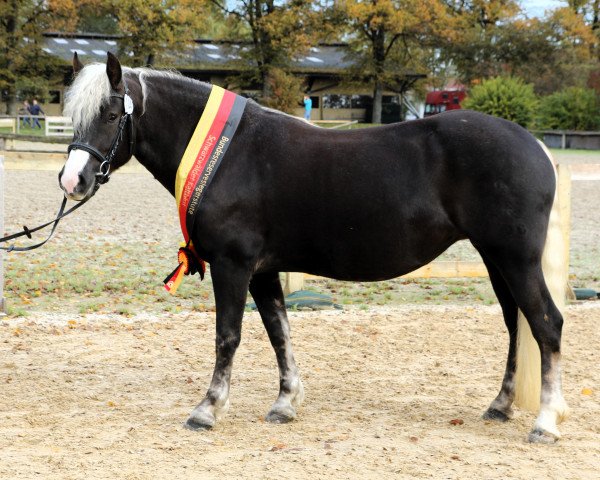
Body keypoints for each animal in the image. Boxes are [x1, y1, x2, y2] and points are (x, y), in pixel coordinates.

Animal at [58, 52, 568, 442]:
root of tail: (536, 147)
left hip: (515, 259)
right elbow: (279, 332)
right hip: (495, 259)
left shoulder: (232, 265)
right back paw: (501, 406)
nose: (72, 180)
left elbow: (228, 336)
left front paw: (207, 409)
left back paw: (545, 423)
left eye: (110, 115)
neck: (228, 152)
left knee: (546, 324)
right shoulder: (263, 271)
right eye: (72, 117)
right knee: (515, 323)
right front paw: (285, 403)